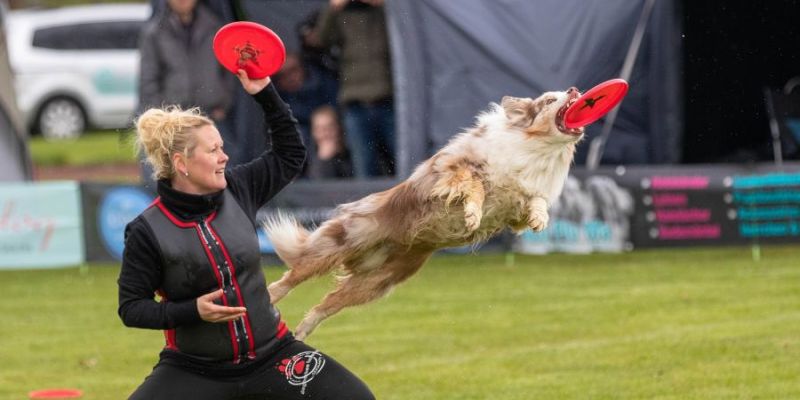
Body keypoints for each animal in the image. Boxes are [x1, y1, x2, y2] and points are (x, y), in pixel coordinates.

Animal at [266, 86, 584, 340]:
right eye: (549, 100)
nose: (574, 89)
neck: (539, 150)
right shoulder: (452, 169)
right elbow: (475, 186)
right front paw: (472, 214)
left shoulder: (515, 207)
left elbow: (534, 200)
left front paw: (540, 218)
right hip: (338, 244)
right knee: (290, 277)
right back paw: (269, 299)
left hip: (377, 282)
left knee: (327, 303)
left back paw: (303, 330)